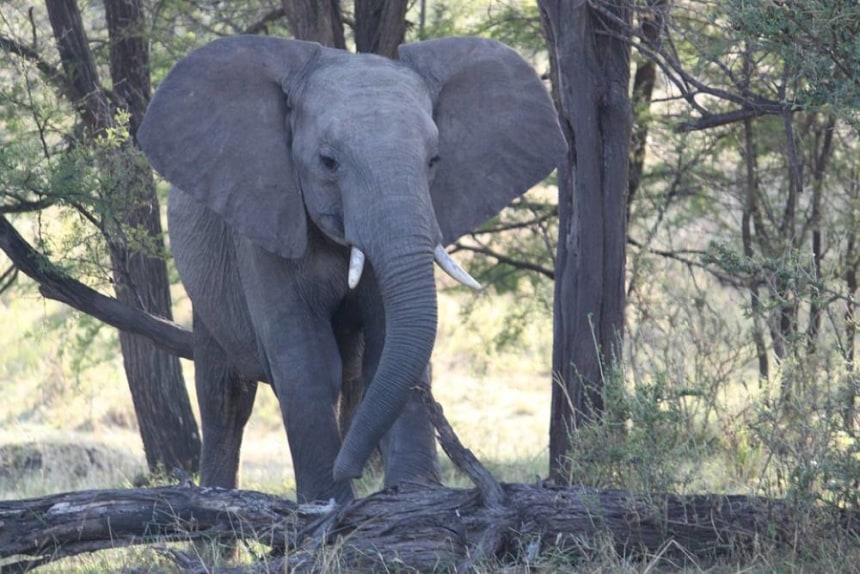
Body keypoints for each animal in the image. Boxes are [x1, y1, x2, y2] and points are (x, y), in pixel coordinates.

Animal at [137, 35, 565, 504]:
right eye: (328, 162)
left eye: (434, 160)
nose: (353, 472)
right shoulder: (264, 222)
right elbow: (306, 362)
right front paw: (329, 502)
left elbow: (388, 347)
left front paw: (411, 495)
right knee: (225, 400)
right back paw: (215, 504)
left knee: (352, 380)